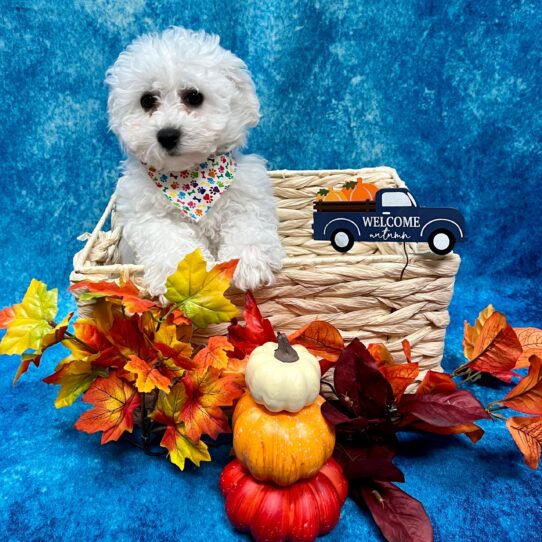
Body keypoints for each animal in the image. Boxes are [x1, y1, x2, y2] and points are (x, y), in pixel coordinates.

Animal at [105, 26, 284, 298]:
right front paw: (177, 279)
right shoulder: (147, 217)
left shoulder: (248, 196)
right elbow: (169, 240)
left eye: (194, 96)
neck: (191, 180)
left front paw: (249, 261)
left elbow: (249, 226)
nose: (167, 135)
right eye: (147, 100)